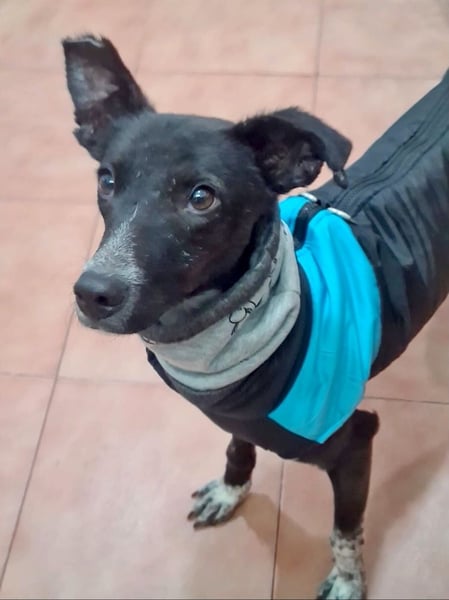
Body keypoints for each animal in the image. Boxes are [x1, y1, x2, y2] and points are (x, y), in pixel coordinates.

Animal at [63, 35, 449, 600]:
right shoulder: (241, 411)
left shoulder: (355, 442)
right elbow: (238, 447)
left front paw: (347, 581)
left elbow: (345, 529)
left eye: (202, 197)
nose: (92, 294)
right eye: (107, 181)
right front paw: (231, 491)